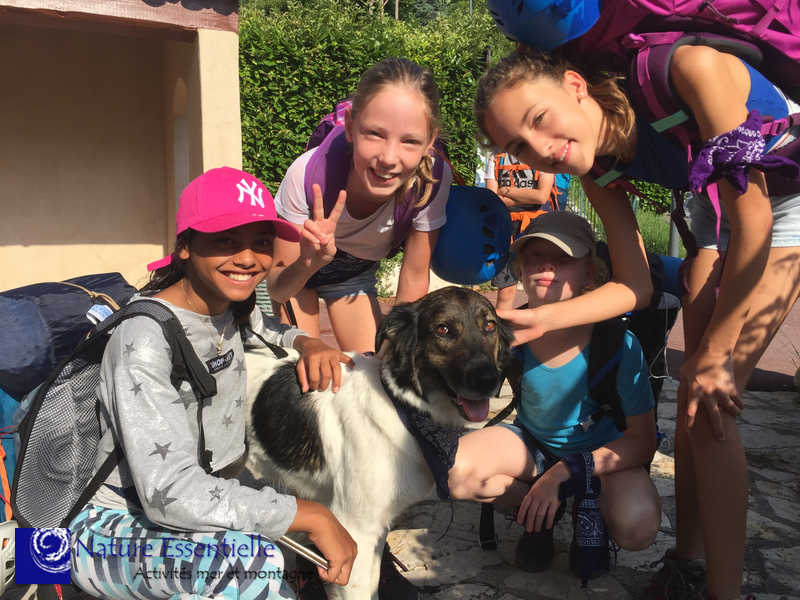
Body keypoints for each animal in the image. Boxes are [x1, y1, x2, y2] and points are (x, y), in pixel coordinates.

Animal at [245, 286, 514, 599]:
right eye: (443, 329)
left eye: (490, 326)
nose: (489, 380)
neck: (399, 404)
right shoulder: (352, 533)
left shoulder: (372, 532)